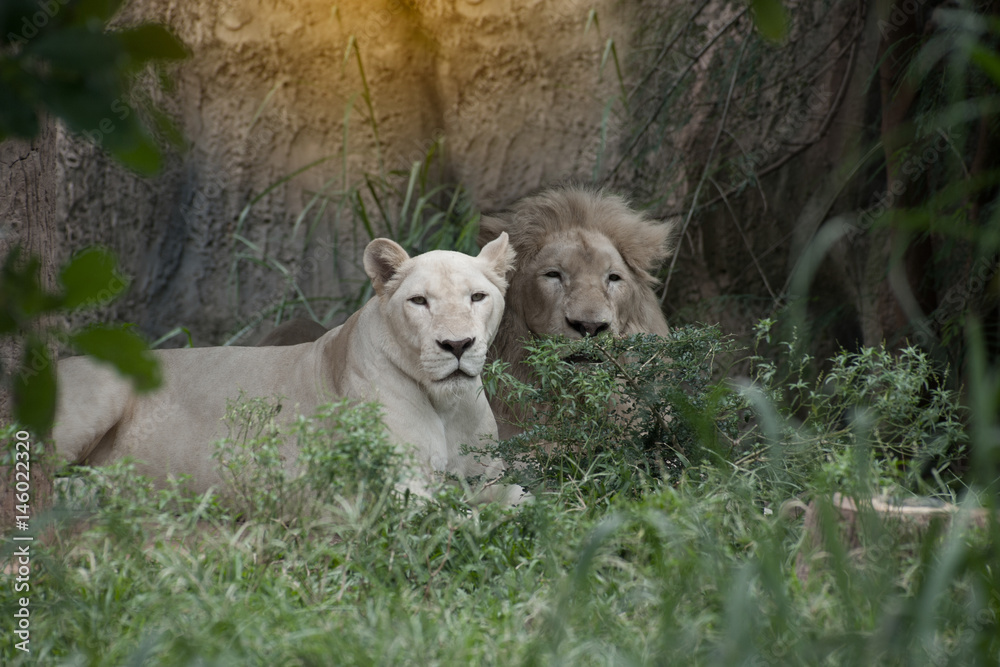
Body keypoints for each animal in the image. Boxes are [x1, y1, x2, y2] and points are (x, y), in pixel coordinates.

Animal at [52, 234, 528, 505]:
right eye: (419, 301)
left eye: (477, 297)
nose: (457, 345)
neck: (445, 404)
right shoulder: (397, 484)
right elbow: (458, 517)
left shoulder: (492, 475)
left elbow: (525, 499)